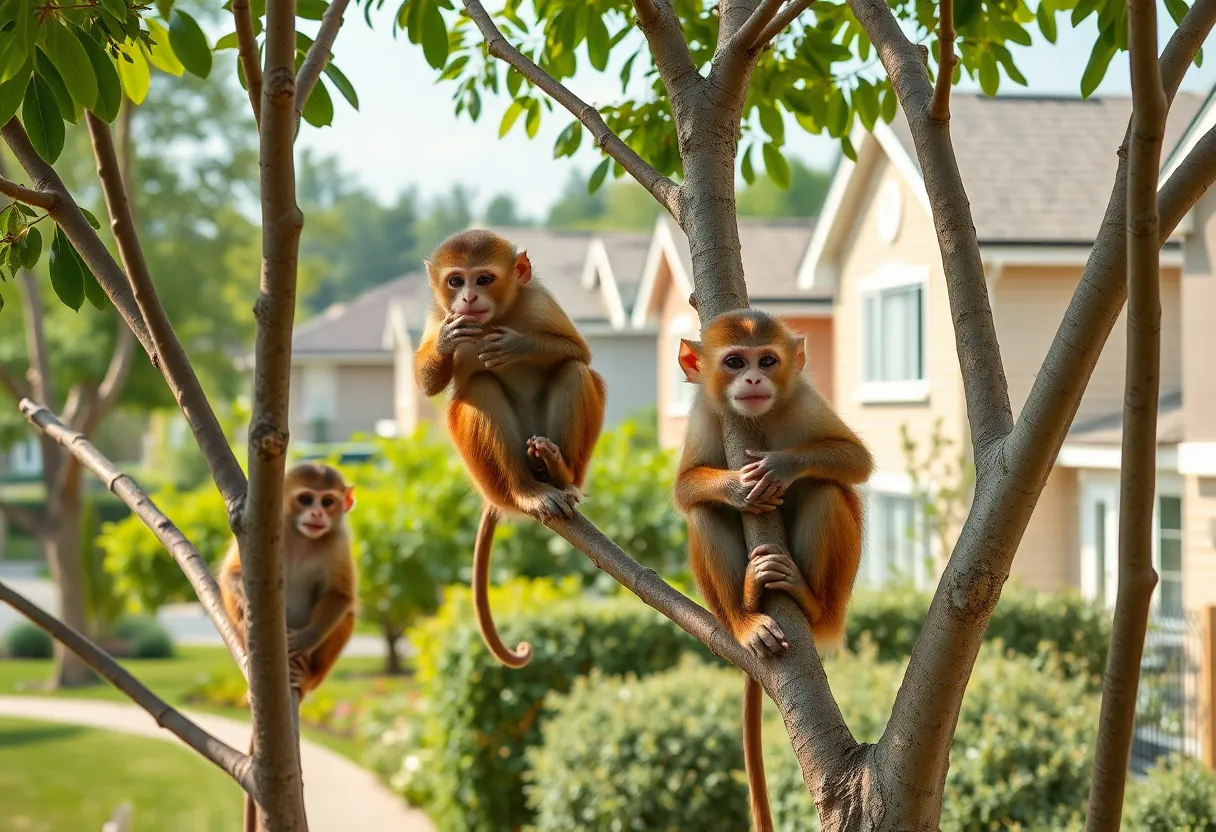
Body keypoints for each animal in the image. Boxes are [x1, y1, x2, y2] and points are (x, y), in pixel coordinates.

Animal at [217, 461, 358, 832]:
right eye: (307, 498)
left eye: (328, 502)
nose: (317, 514)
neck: (302, 539)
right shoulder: (253, 535)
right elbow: (231, 576)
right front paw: (249, 600)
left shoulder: (338, 543)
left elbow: (341, 598)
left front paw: (303, 640)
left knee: (348, 616)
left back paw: (304, 676)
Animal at [414, 229, 606, 668]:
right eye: (455, 281)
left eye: (483, 279)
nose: (468, 298)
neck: (496, 319)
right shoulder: (438, 314)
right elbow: (427, 384)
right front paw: (448, 342)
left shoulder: (538, 299)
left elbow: (579, 351)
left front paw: (518, 346)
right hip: (489, 475)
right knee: (479, 388)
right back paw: (527, 491)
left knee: (573, 370)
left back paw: (557, 471)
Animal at [672, 309, 872, 832]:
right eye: (734, 362)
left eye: (767, 360)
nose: (753, 379)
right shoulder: (706, 414)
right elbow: (684, 489)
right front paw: (738, 488)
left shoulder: (803, 397)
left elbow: (856, 461)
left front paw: (780, 466)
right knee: (703, 514)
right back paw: (745, 615)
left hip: (834, 600)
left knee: (826, 488)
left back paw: (806, 599)